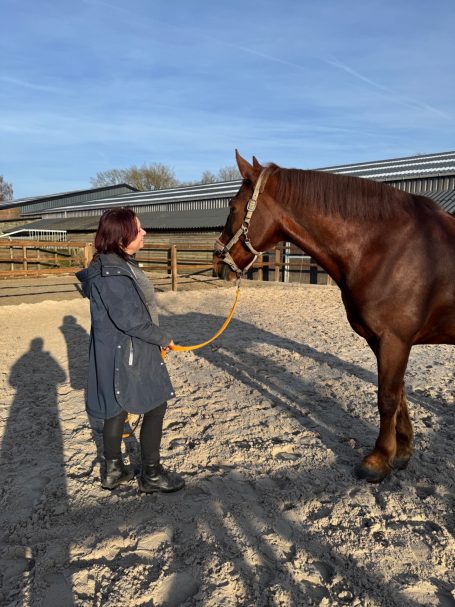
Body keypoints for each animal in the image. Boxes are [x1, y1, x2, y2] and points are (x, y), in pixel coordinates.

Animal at [213, 150, 455, 483]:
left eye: (232, 206)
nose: (218, 263)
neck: (388, 247)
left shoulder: (394, 340)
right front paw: (403, 452)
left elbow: (387, 398)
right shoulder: (386, 341)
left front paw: (378, 461)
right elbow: (399, 393)